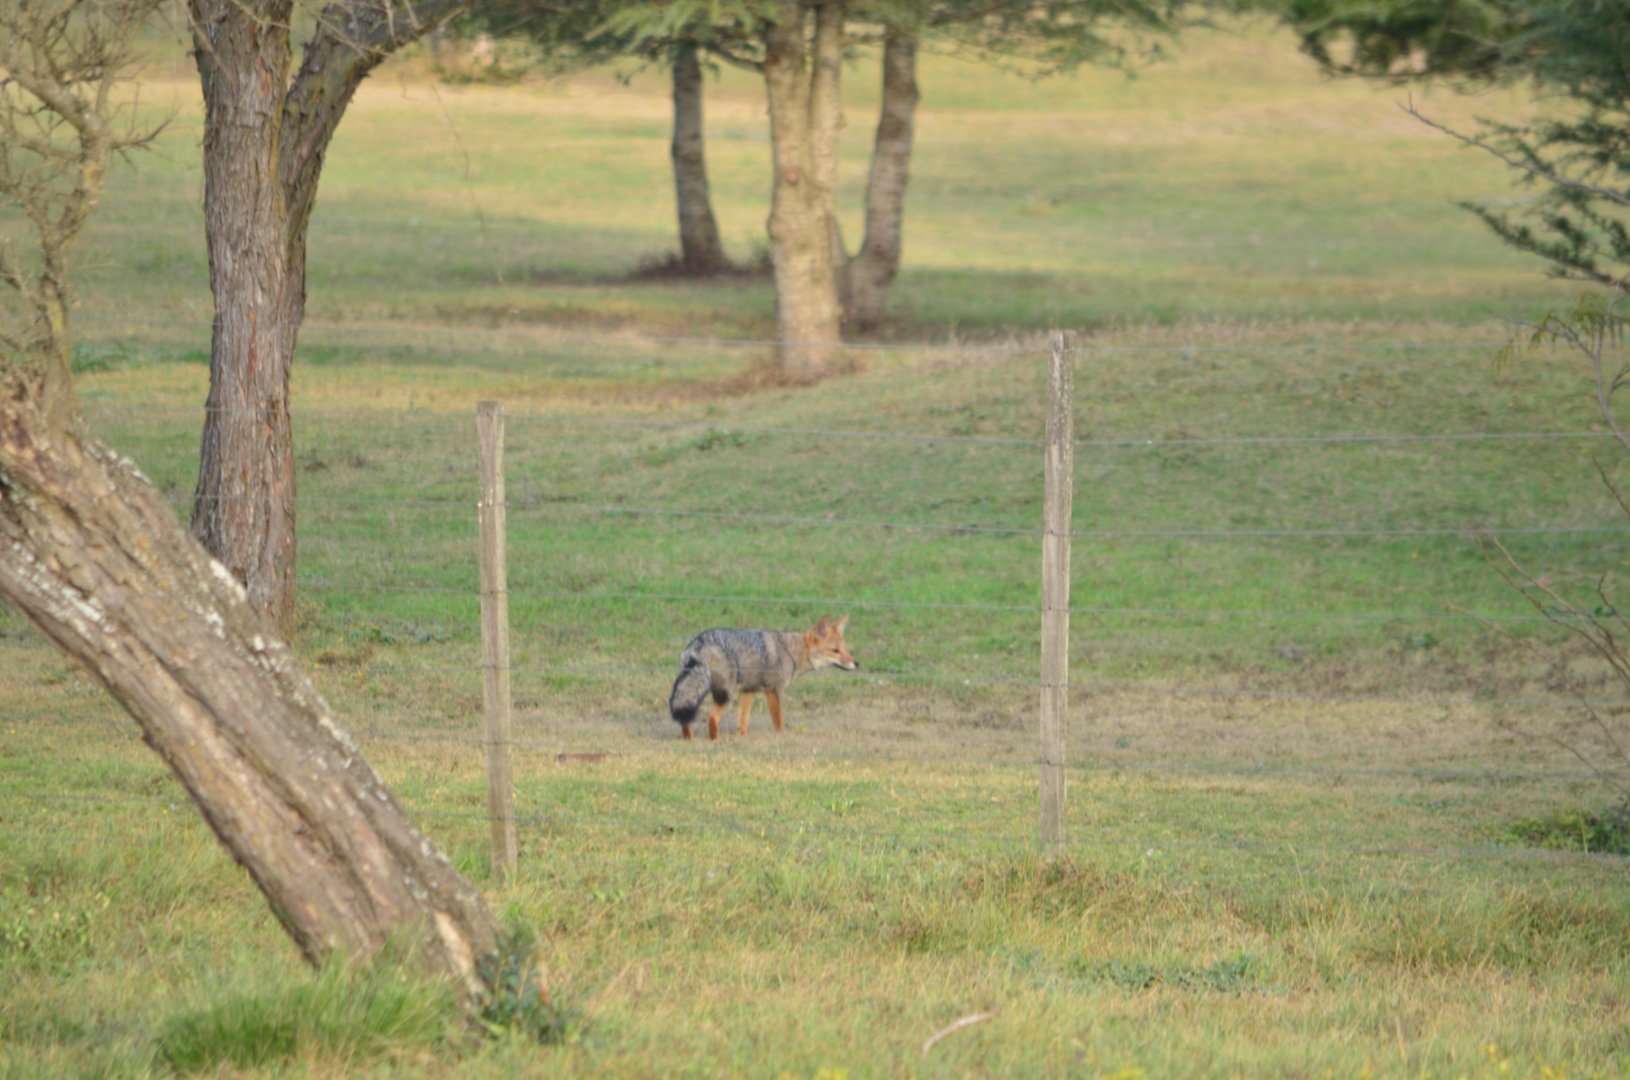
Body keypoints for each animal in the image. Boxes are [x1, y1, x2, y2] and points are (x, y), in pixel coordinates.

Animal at [668, 614, 858, 741]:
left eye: (846, 650)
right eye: (835, 651)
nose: (856, 663)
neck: (790, 651)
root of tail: (699, 643)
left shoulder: (748, 691)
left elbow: (743, 721)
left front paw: (742, 737)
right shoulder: (772, 691)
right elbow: (778, 721)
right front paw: (782, 737)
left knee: (687, 720)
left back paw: (689, 739)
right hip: (725, 695)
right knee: (711, 718)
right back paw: (715, 740)